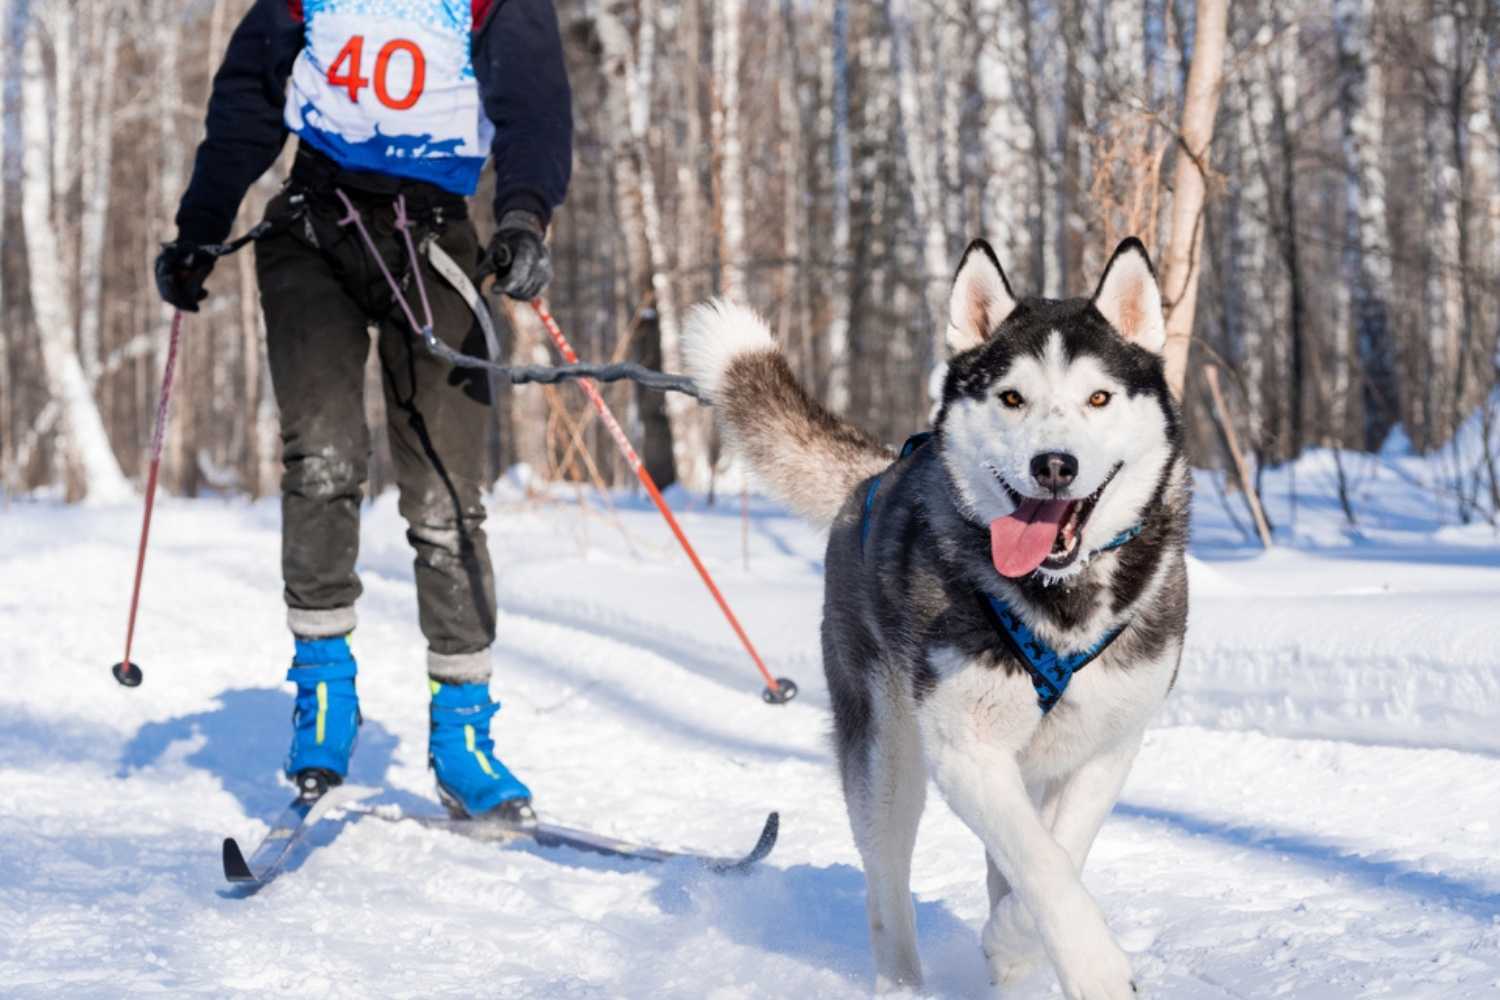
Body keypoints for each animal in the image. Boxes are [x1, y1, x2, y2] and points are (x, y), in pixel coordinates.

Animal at [687, 238, 1188, 995]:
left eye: (1098, 397)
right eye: (1012, 397)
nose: (1054, 465)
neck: (1057, 600)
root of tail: (873, 477)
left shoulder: (1108, 746)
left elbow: (1056, 853)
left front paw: (1012, 945)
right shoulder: (966, 749)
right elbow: (1042, 867)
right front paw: (1090, 967)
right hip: (886, 758)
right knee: (887, 886)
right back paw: (902, 978)